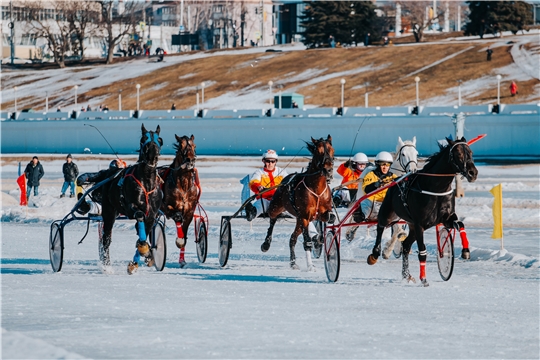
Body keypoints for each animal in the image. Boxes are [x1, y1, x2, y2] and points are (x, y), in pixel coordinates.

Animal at [99, 123, 162, 272]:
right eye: (143, 139)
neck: (147, 182)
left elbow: (143, 233)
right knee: (106, 239)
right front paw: (144, 251)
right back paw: (106, 265)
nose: (152, 154)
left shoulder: (151, 214)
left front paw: (145, 256)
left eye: (159, 139)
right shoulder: (131, 208)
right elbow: (139, 218)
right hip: (109, 212)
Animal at [159, 134, 199, 268]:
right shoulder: (167, 207)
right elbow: (177, 217)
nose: (190, 160)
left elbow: (184, 231)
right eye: (181, 146)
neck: (184, 185)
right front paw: (179, 240)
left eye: (194, 145)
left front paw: (182, 260)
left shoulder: (190, 211)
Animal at [260, 136, 334, 272]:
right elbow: (307, 242)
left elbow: (330, 218)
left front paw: (319, 240)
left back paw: (293, 262)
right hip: (277, 207)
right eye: (318, 151)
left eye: (332, 150)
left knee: (292, 239)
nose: (328, 170)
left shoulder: (322, 213)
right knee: (272, 219)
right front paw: (310, 266)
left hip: (298, 221)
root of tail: (285, 179)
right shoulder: (304, 216)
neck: (316, 189)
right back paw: (266, 244)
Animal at [368, 136, 476, 286]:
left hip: (412, 226)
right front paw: (423, 279)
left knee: (406, 245)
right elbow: (422, 251)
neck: (436, 188)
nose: (473, 173)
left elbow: (460, 225)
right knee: (380, 226)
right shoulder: (420, 224)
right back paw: (375, 253)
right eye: (459, 153)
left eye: (470, 152)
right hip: (388, 213)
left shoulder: (446, 218)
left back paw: (406, 275)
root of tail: (394, 180)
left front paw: (465, 251)